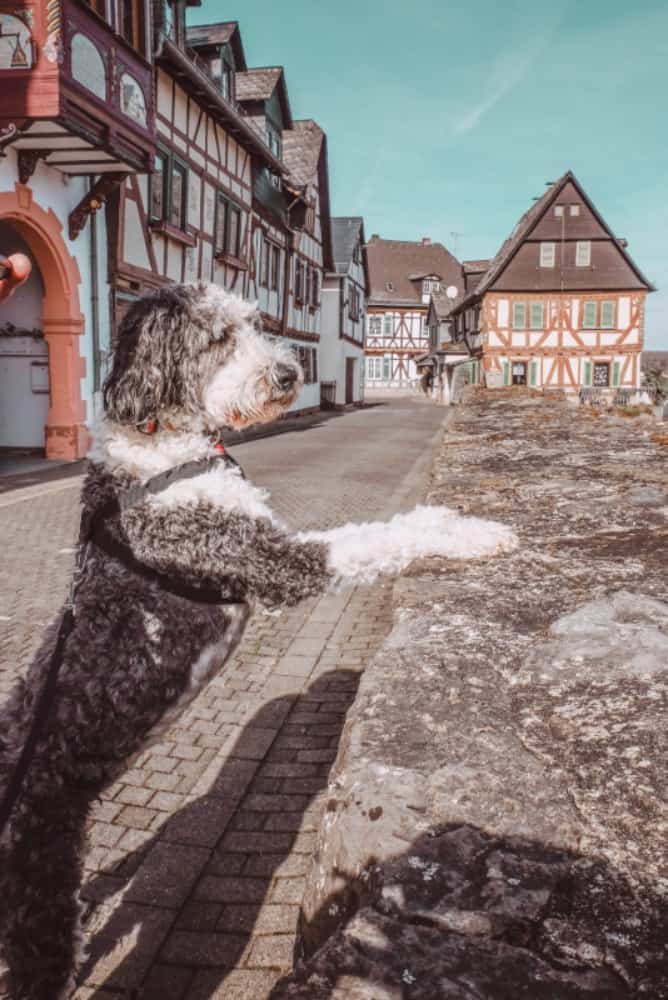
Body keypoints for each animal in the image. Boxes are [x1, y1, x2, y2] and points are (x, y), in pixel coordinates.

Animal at [0, 282, 516, 1000]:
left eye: (253, 322)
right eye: (217, 337)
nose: (290, 375)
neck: (169, 448)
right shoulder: (272, 560)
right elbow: (375, 536)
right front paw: (464, 531)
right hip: (36, 895)